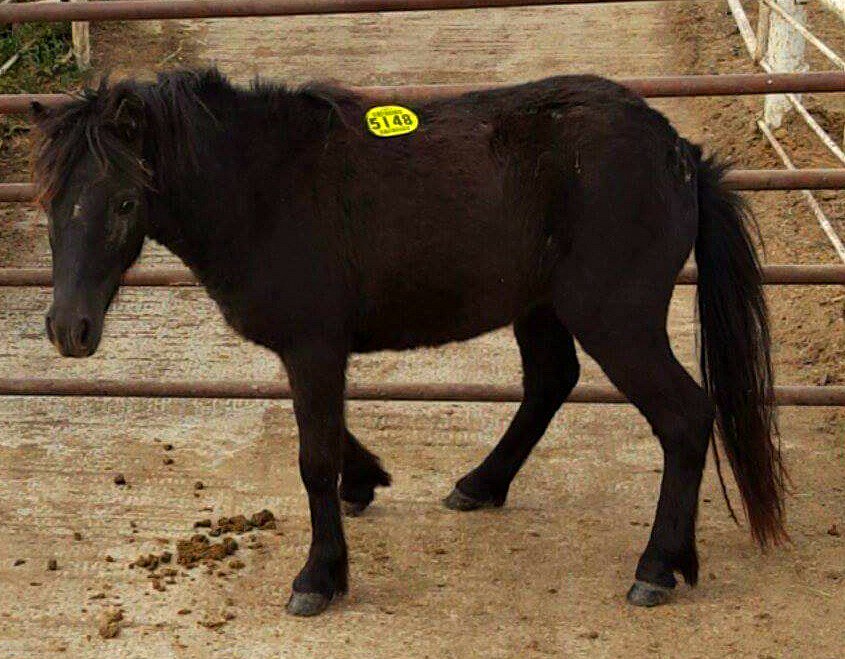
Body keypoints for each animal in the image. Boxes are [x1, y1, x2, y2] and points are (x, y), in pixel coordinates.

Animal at [31, 68, 786, 617]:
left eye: (125, 203)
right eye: (48, 203)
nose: (69, 330)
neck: (263, 187)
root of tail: (679, 154)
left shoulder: (313, 346)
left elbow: (312, 457)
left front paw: (319, 577)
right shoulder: (311, 349)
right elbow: (329, 438)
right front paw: (364, 479)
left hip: (616, 320)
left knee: (683, 417)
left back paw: (657, 566)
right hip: (542, 307)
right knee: (551, 382)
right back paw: (483, 485)